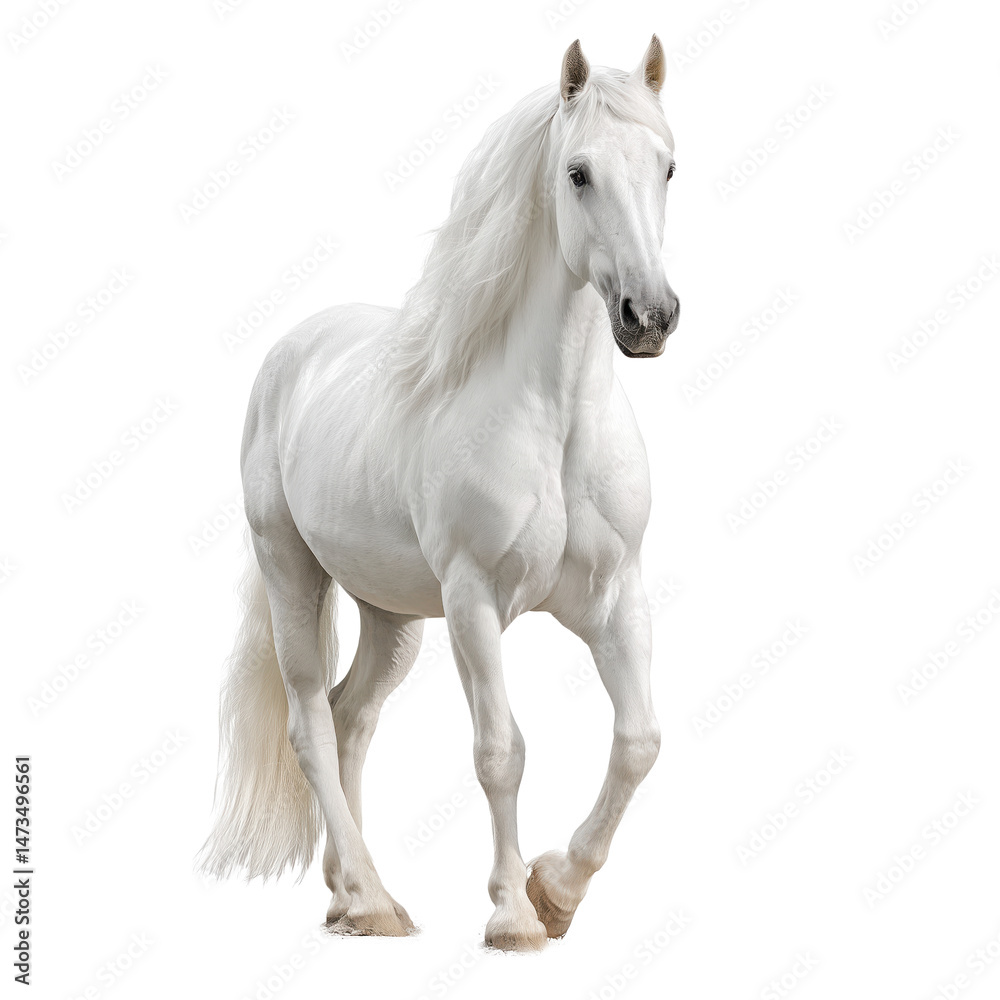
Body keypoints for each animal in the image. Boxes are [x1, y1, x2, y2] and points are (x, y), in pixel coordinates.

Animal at [198, 35, 680, 952]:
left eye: (668, 166)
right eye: (578, 173)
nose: (650, 317)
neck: (556, 423)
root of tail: (292, 351)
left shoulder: (618, 596)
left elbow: (639, 742)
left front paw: (557, 891)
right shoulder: (473, 601)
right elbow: (501, 752)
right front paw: (512, 913)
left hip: (390, 618)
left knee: (352, 716)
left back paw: (353, 895)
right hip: (293, 578)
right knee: (311, 724)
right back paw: (370, 899)